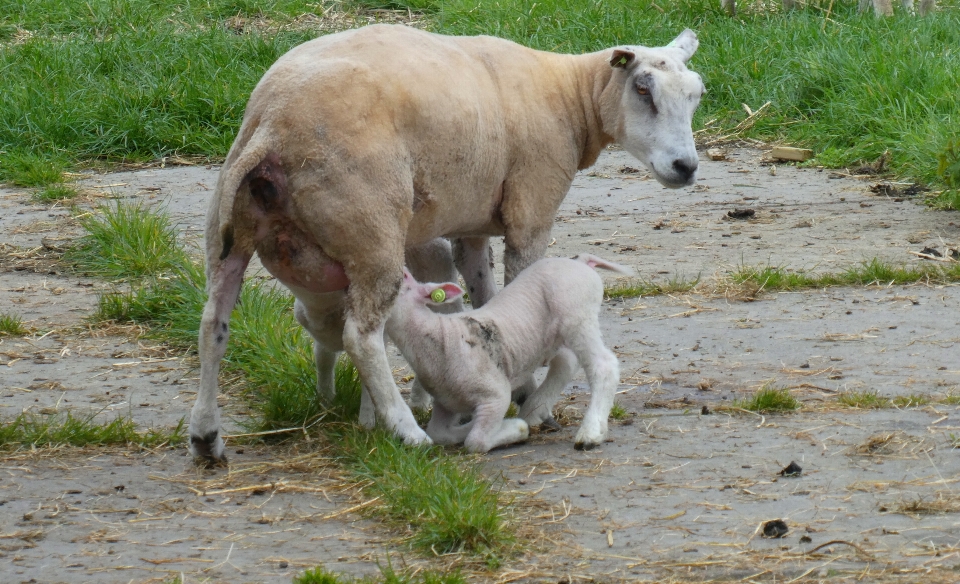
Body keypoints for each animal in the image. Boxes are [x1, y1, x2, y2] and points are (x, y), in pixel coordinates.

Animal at [386, 252, 632, 452]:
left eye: (404, 276)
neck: (437, 334)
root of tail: (580, 261)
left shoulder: (495, 395)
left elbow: (476, 441)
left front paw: (515, 429)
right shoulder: (446, 403)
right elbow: (439, 434)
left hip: (577, 314)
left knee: (603, 365)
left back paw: (590, 433)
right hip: (557, 333)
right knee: (566, 361)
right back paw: (534, 411)